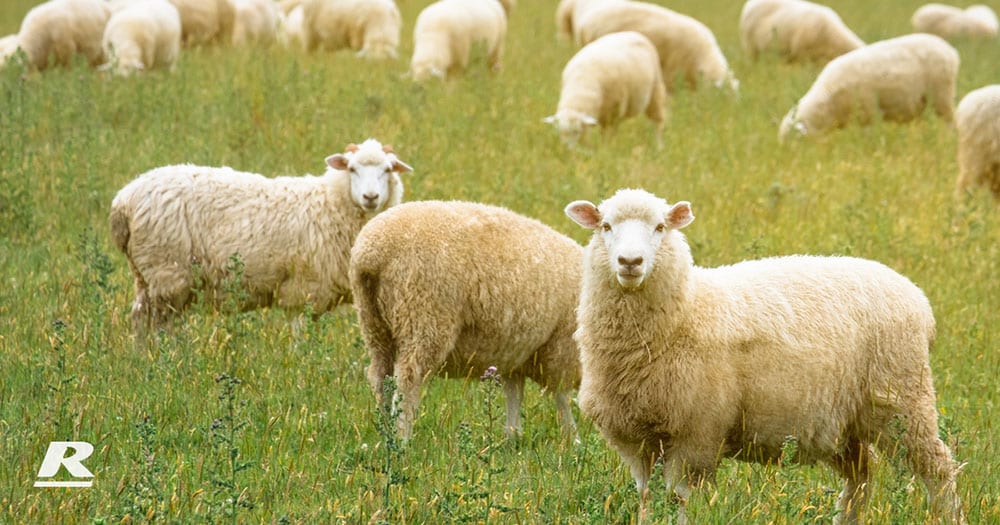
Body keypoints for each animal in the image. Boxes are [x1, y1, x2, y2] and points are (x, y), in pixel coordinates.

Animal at [113, 137, 414, 330]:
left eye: (388, 169)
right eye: (352, 169)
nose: (370, 197)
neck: (330, 202)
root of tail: (123, 200)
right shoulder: (302, 290)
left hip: (147, 275)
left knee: (141, 318)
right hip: (167, 272)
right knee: (156, 323)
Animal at [352, 199, 584, 440]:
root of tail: (371, 255)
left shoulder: (516, 354)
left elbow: (514, 394)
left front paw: (513, 437)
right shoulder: (561, 347)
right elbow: (561, 396)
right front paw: (573, 438)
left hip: (374, 324)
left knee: (380, 376)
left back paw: (385, 433)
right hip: (424, 317)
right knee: (408, 380)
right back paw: (402, 439)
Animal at [568, 188, 964, 524]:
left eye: (660, 227)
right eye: (606, 226)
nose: (630, 261)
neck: (685, 312)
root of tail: (916, 296)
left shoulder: (696, 437)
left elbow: (682, 501)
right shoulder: (636, 442)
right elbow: (647, 499)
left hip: (904, 400)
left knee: (939, 469)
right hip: (840, 421)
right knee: (861, 474)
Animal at [776, 32, 956, 141]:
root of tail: (949, 49)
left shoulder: (867, 111)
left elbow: (867, 135)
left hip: (942, 94)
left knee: (949, 122)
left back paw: (947, 140)